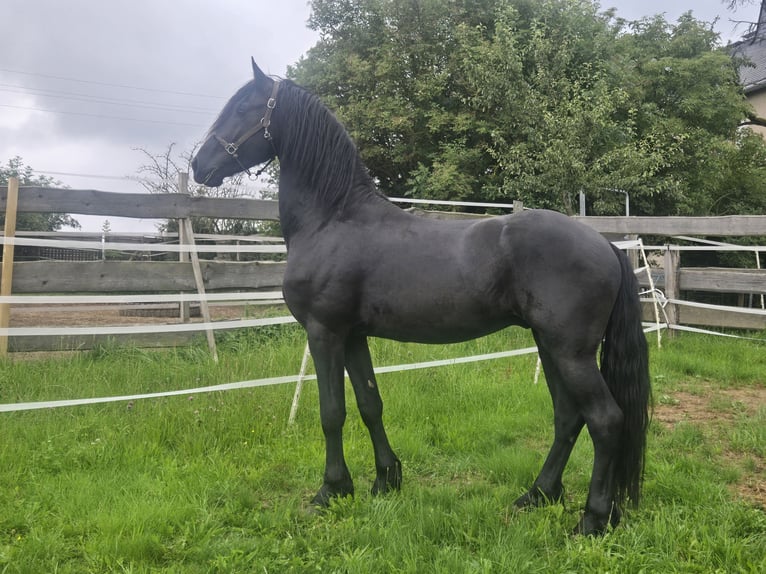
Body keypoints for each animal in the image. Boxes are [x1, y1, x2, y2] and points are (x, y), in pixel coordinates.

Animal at [191, 59, 651, 535]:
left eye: (243, 107)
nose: (198, 165)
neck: (333, 219)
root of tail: (606, 246)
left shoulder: (324, 333)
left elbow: (332, 412)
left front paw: (331, 491)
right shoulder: (353, 336)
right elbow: (369, 404)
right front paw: (385, 479)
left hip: (570, 352)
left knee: (605, 420)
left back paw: (593, 518)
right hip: (549, 345)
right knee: (567, 416)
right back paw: (538, 494)